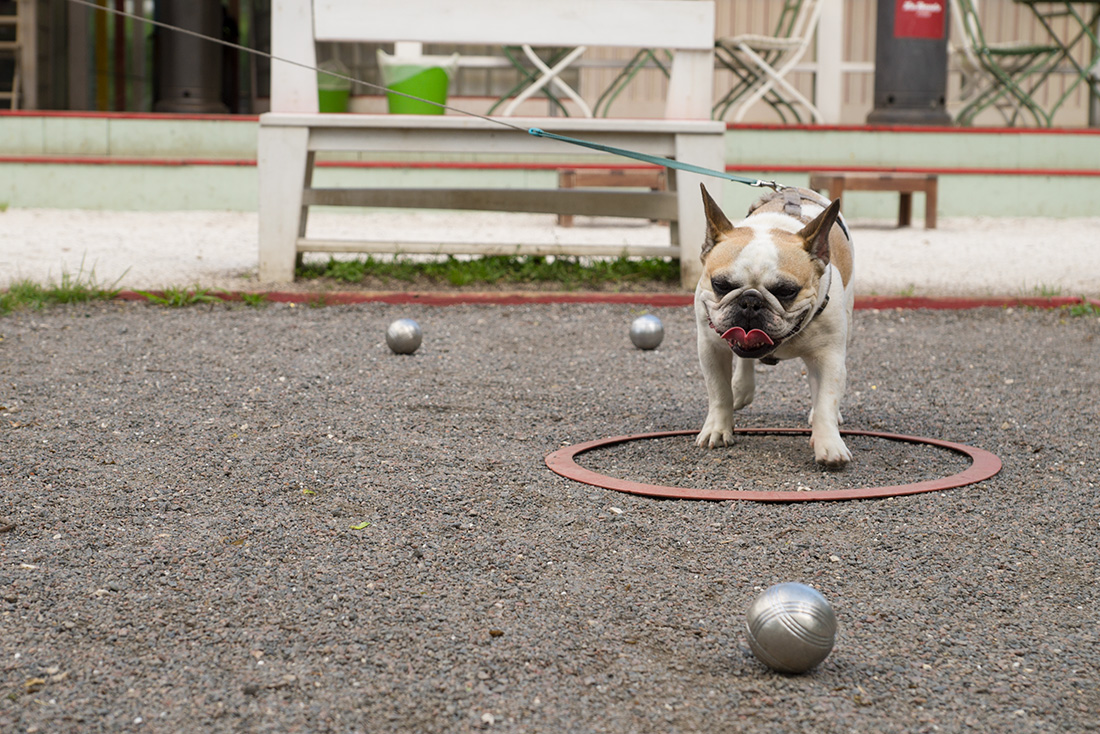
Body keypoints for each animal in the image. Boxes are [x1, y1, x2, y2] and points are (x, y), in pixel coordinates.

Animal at [690, 187, 853, 468]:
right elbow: (718, 392)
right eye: (721, 284)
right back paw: (741, 388)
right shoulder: (710, 348)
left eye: (786, 291)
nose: (750, 301)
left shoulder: (829, 356)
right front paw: (717, 429)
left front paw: (829, 444)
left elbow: (826, 400)